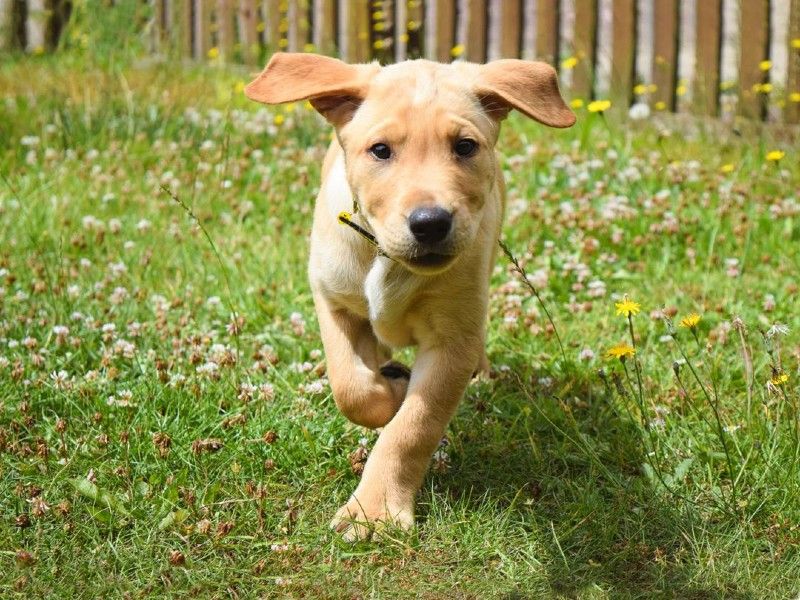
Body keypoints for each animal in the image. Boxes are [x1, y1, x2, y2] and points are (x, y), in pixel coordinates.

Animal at [245, 52, 576, 540]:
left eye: (465, 146)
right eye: (380, 150)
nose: (430, 223)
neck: (388, 258)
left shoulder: (452, 341)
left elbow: (413, 428)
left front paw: (374, 510)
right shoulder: (333, 301)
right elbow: (352, 388)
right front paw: (390, 391)